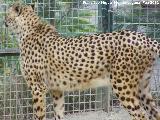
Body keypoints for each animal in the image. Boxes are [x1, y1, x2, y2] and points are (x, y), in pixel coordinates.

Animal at [5, 3, 160, 120]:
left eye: (6, 14)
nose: (4, 22)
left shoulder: (38, 87)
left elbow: (39, 115)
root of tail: (144, 37)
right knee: (155, 112)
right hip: (142, 87)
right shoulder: (57, 89)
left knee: (140, 115)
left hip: (122, 86)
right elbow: (59, 113)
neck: (27, 29)